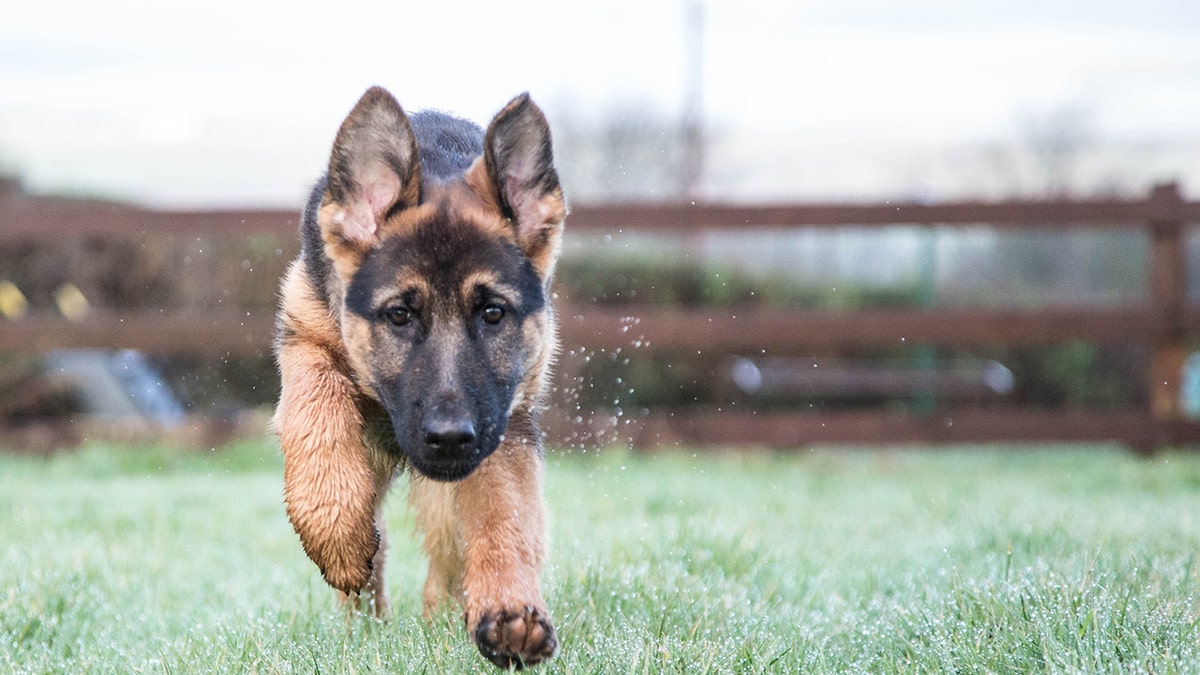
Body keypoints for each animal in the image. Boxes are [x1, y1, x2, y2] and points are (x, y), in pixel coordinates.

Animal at [274, 85, 564, 667]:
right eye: (399, 315)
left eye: (493, 313)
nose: (450, 438)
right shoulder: (305, 336)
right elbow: (315, 413)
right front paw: (334, 532)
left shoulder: (504, 424)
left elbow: (507, 514)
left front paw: (511, 611)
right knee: (376, 553)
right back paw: (362, 628)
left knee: (448, 554)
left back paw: (442, 623)